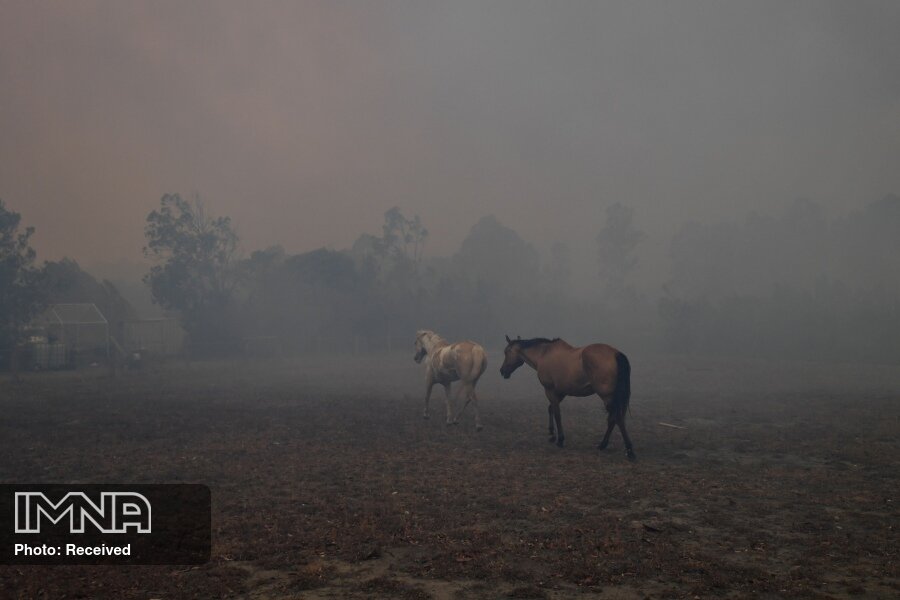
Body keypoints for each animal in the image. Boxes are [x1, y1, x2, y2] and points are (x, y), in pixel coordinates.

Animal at [500, 338, 632, 460]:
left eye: (506, 352)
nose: (502, 371)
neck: (544, 354)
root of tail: (616, 353)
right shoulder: (560, 392)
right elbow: (551, 409)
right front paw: (552, 433)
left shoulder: (550, 390)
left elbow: (557, 414)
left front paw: (560, 439)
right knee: (613, 419)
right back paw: (604, 445)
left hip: (607, 397)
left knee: (617, 419)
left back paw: (628, 450)